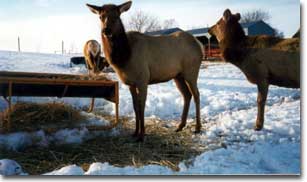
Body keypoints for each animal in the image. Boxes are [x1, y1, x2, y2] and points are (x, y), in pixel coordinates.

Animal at [86, 0, 206, 141]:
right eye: (101, 16)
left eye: (117, 16)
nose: (106, 30)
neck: (124, 57)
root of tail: (199, 44)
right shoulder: (130, 83)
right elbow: (135, 107)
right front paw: (135, 132)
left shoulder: (143, 79)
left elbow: (141, 106)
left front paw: (142, 135)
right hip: (178, 75)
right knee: (187, 95)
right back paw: (180, 125)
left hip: (191, 71)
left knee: (196, 94)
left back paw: (197, 127)